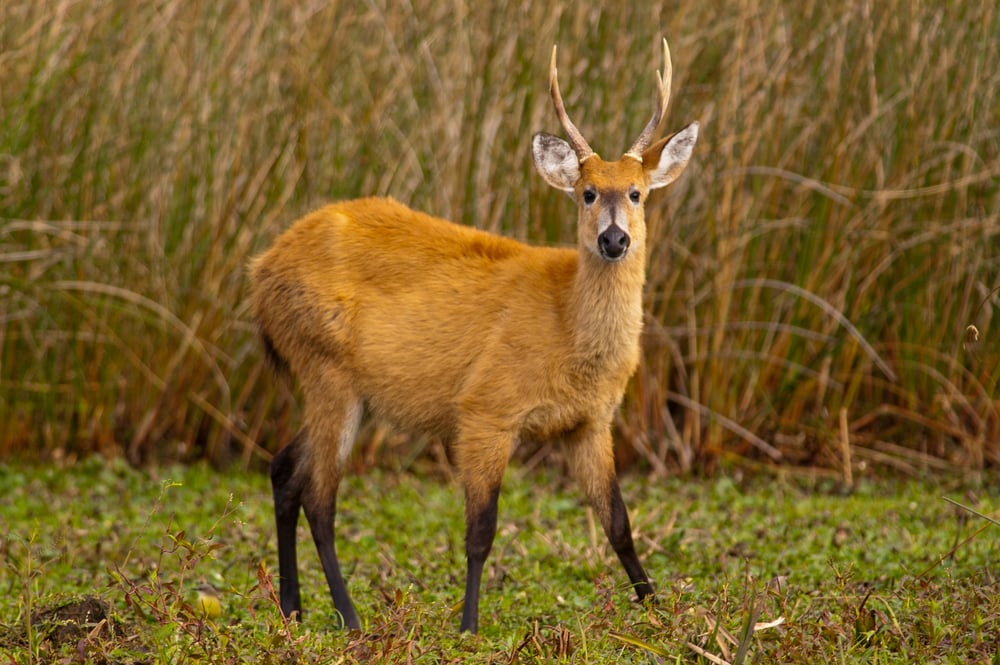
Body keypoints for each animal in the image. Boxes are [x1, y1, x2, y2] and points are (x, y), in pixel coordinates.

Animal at [249, 38, 698, 634]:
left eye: (637, 193)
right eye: (586, 193)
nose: (614, 240)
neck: (566, 329)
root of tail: (261, 270)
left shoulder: (591, 422)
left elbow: (618, 522)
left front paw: (656, 609)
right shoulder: (486, 410)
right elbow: (481, 530)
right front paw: (468, 625)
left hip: (342, 388)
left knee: (283, 470)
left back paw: (293, 607)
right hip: (326, 369)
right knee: (321, 499)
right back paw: (349, 616)